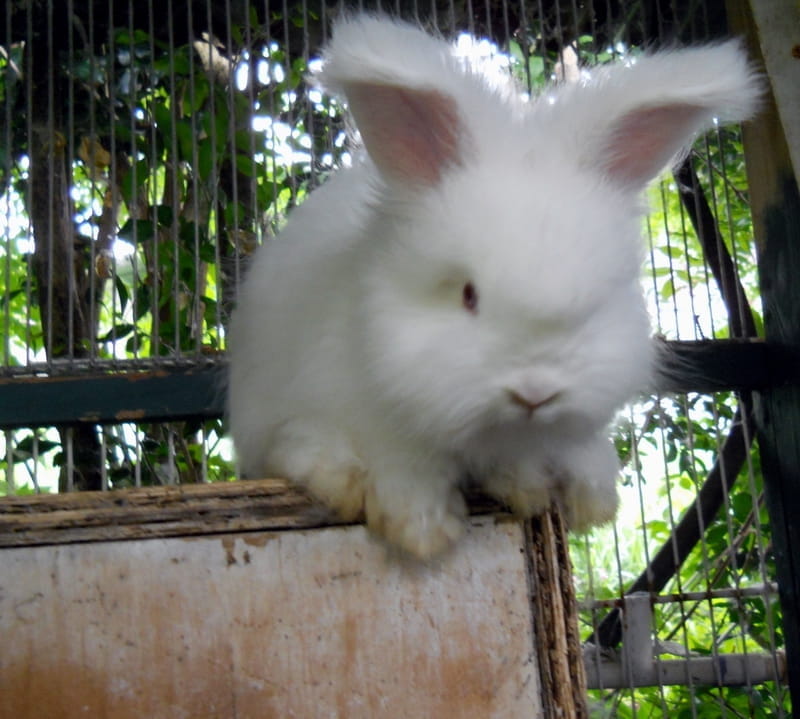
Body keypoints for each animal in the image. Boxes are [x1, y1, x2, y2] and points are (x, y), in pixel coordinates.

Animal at [227, 14, 764, 560]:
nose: (535, 392)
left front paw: (563, 496)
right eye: (468, 295)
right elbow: (398, 471)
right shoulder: (359, 423)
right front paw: (423, 532)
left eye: (598, 302)